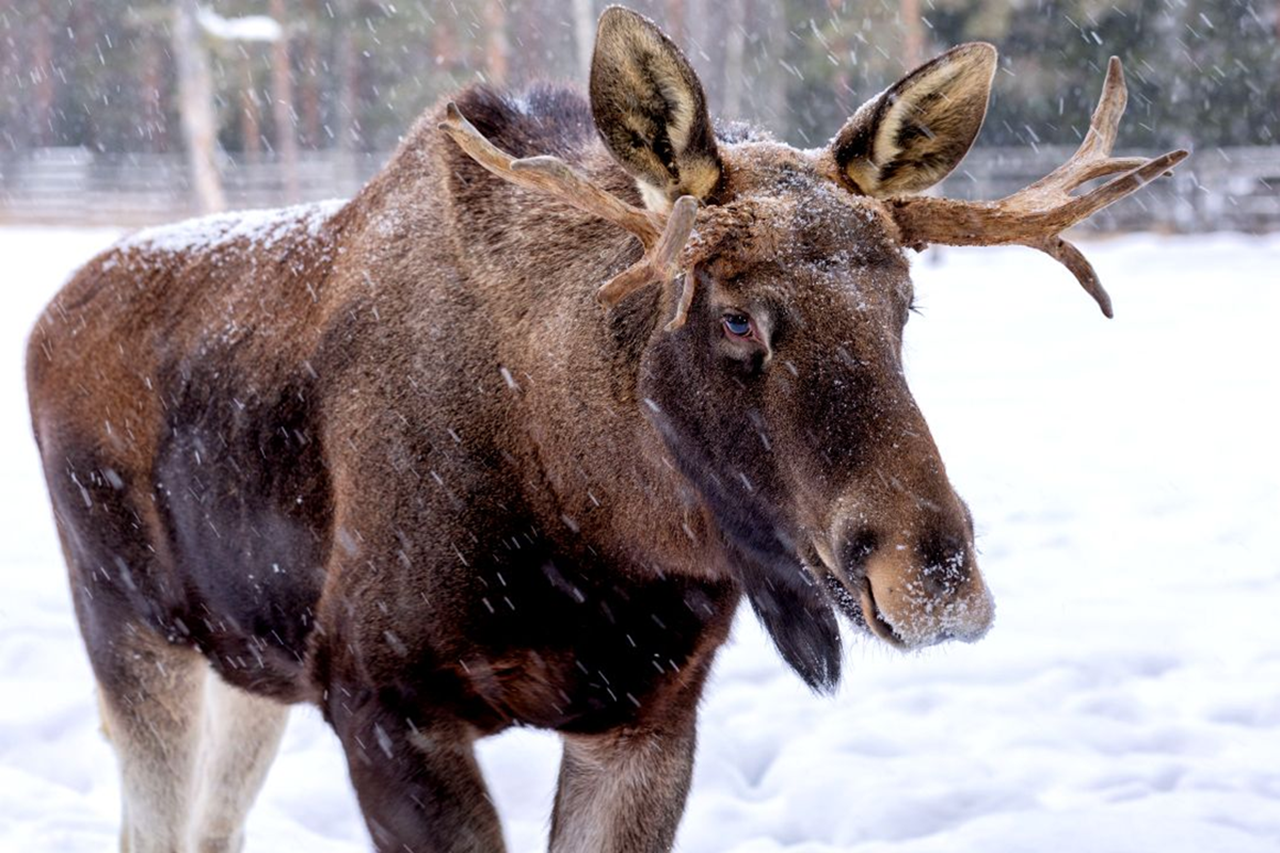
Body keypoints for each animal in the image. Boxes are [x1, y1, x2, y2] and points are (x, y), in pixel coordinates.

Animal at [26, 7, 1185, 852]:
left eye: (904, 302)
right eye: (733, 316)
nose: (933, 570)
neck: (592, 526)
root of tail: (48, 316)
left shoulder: (649, 716)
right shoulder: (379, 700)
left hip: (250, 665)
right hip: (129, 628)